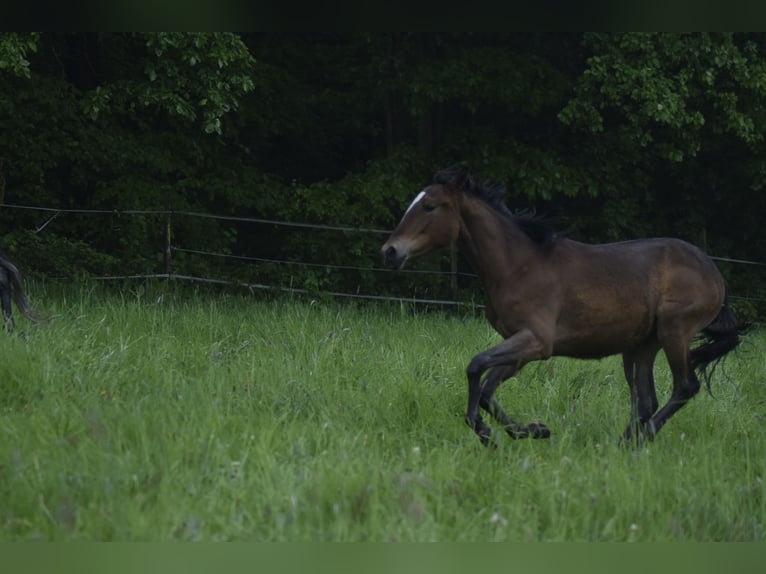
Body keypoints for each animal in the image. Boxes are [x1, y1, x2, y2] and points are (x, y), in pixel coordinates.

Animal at [381, 166, 746, 446]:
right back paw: (622, 444)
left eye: (430, 206)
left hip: (675, 331)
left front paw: (488, 434)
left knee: (685, 387)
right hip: (641, 345)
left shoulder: (536, 342)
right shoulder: (520, 346)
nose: (390, 251)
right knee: (646, 401)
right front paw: (533, 431)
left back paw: (640, 440)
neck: (518, 266)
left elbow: (475, 366)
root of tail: (715, 274)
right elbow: (486, 389)